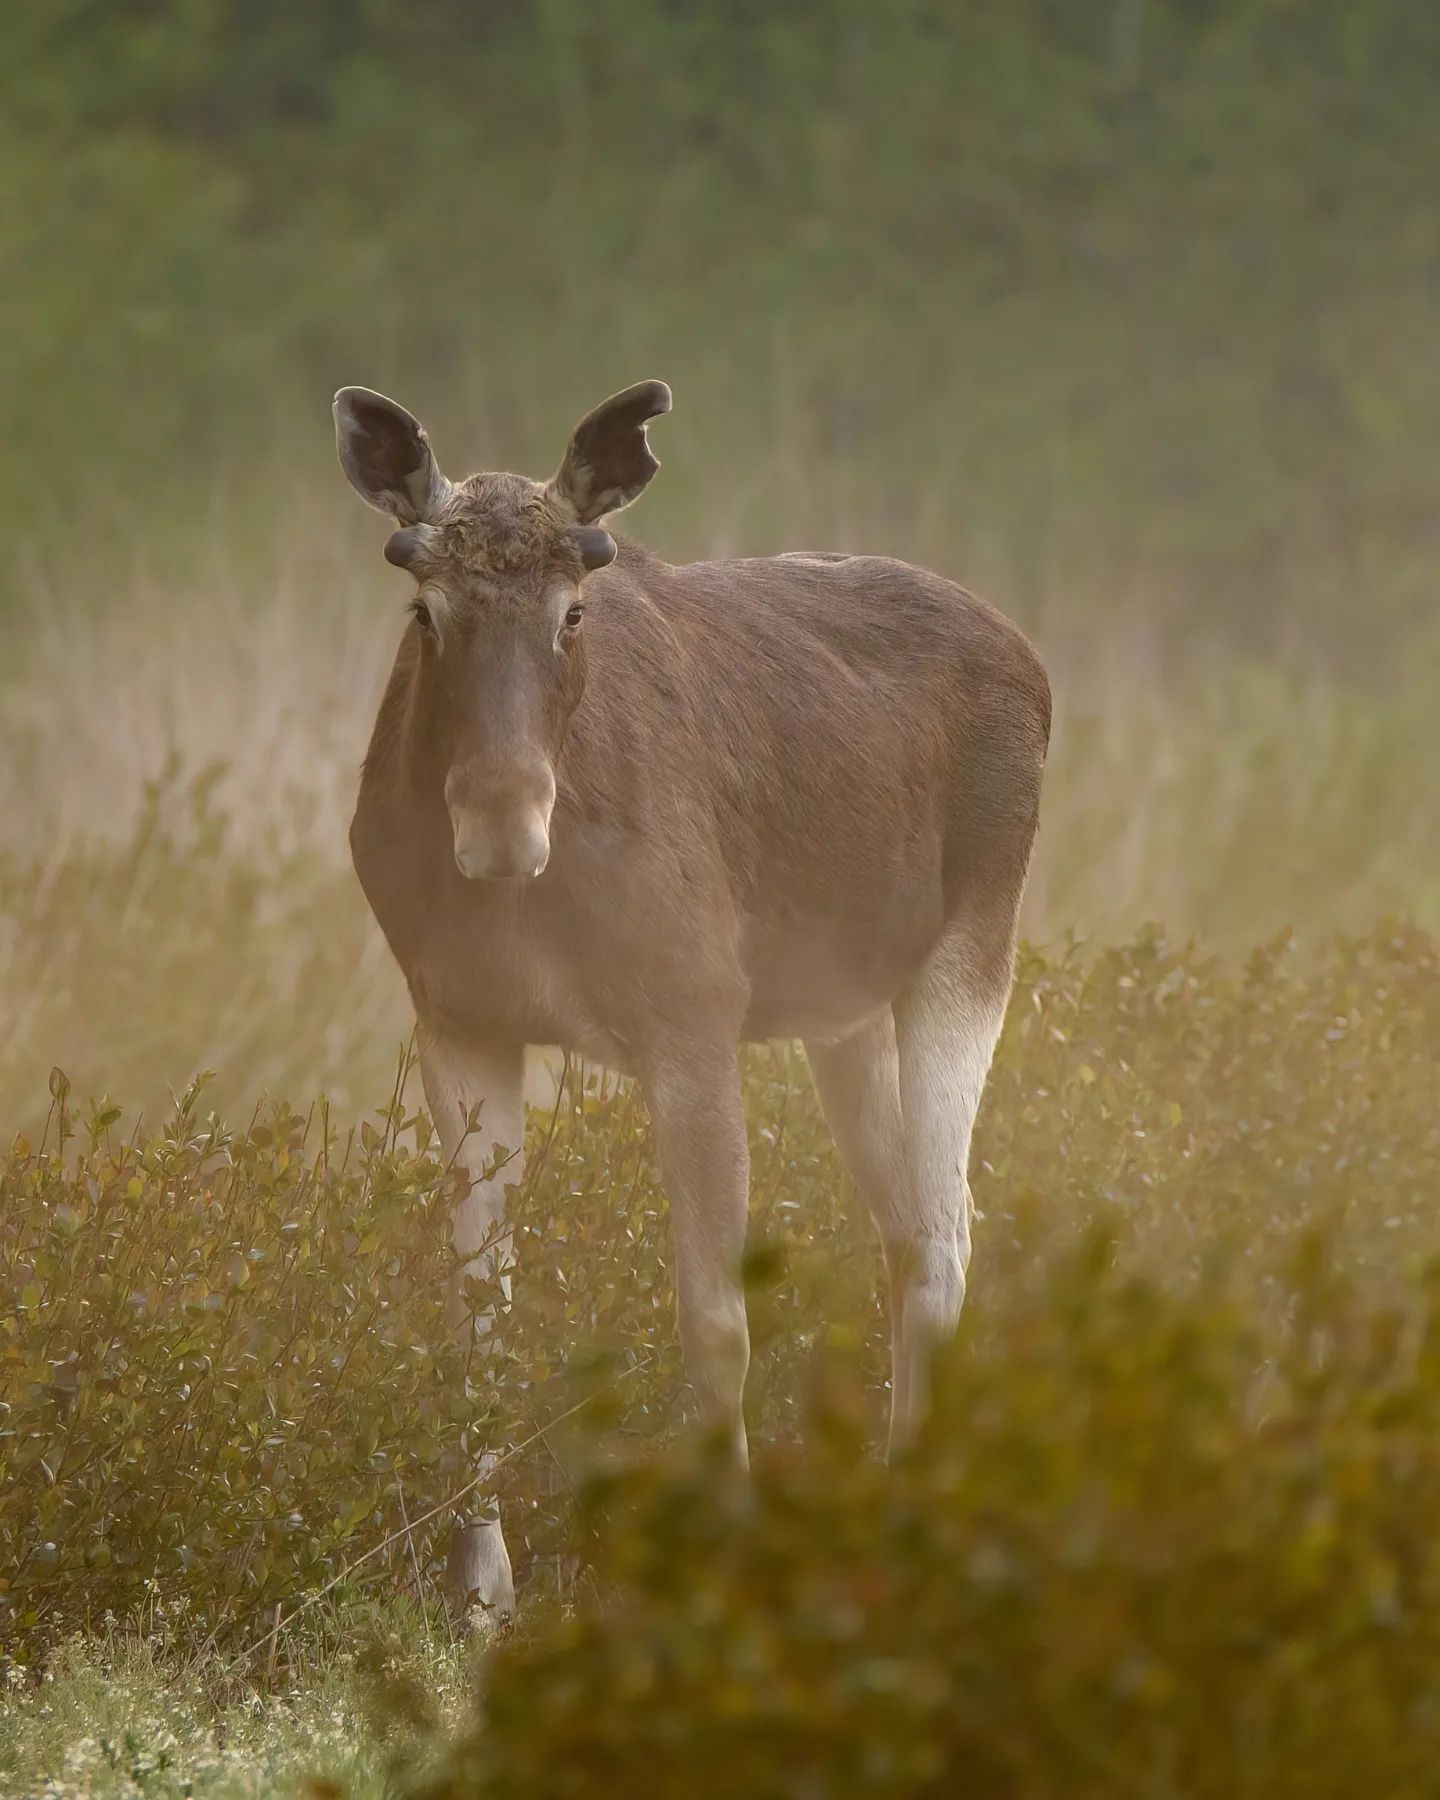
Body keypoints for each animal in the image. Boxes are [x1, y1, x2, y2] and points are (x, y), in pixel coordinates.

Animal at [333, 379, 1050, 1623]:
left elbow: (715, 1319)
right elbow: (478, 1316)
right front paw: (482, 1591)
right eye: (425, 609)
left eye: (575, 608)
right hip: (843, 1013)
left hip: (972, 945)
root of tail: (1040, 669)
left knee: (948, 1229)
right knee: (915, 1224)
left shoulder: (695, 1012)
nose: (500, 822)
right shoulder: (459, 1017)